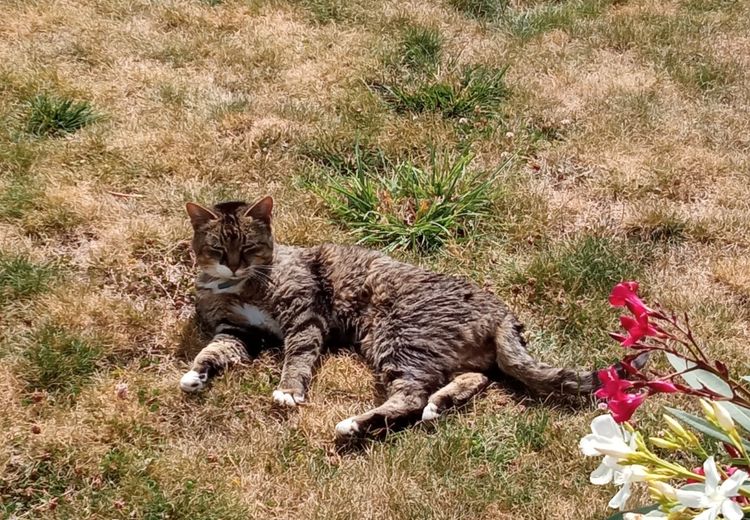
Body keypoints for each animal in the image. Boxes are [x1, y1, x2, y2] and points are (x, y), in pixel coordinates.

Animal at [181, 198, 604, 438]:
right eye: (217, 249)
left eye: (249, 247)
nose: (233, 265)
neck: (237, 287)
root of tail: (499, 309)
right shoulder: (237, 330)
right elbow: (214, 350)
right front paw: (195, 373)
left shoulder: (305, 314)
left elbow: (298, 355)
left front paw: (288, 390)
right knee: (474, 378)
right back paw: (441, 404)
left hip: (399, 338)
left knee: (412, 397)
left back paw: (356, 425)